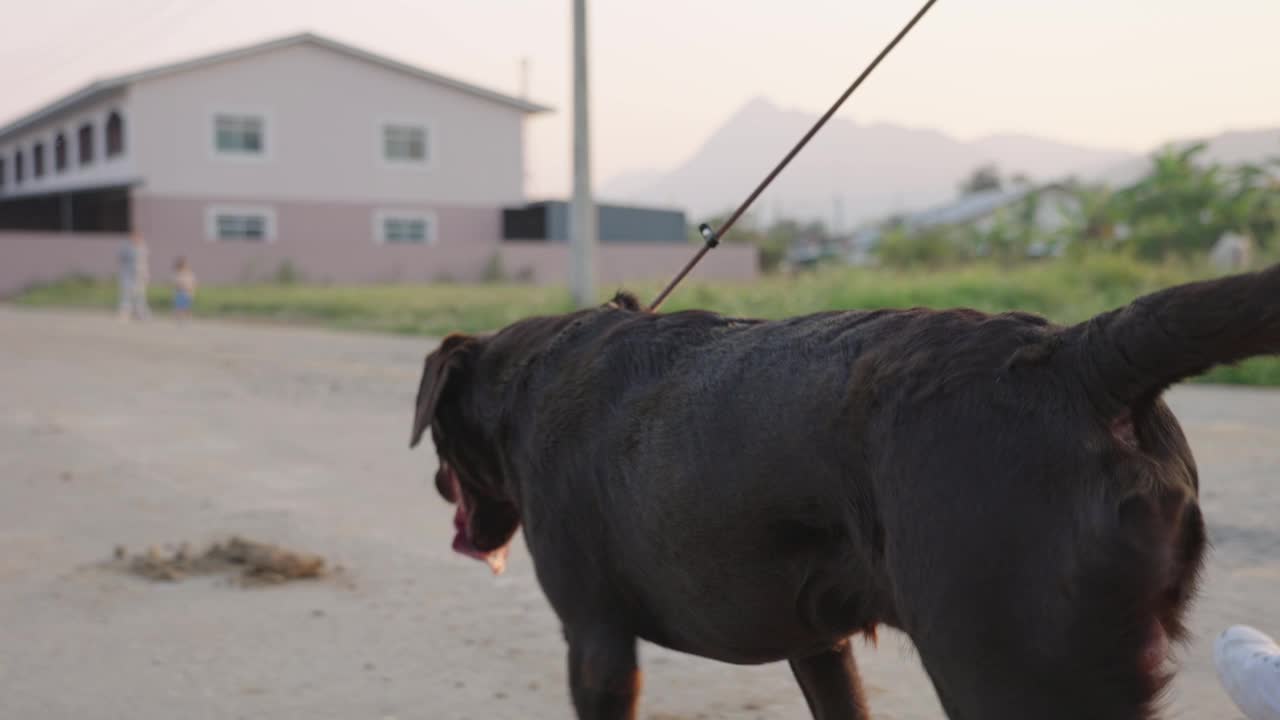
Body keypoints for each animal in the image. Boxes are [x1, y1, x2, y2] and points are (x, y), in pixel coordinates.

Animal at [407, 265, 1280, 717]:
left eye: (441, 441)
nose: (434, 484)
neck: (532, 375)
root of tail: (1077, 355)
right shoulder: (818, 645)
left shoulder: (595, 640)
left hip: (1008, 670)